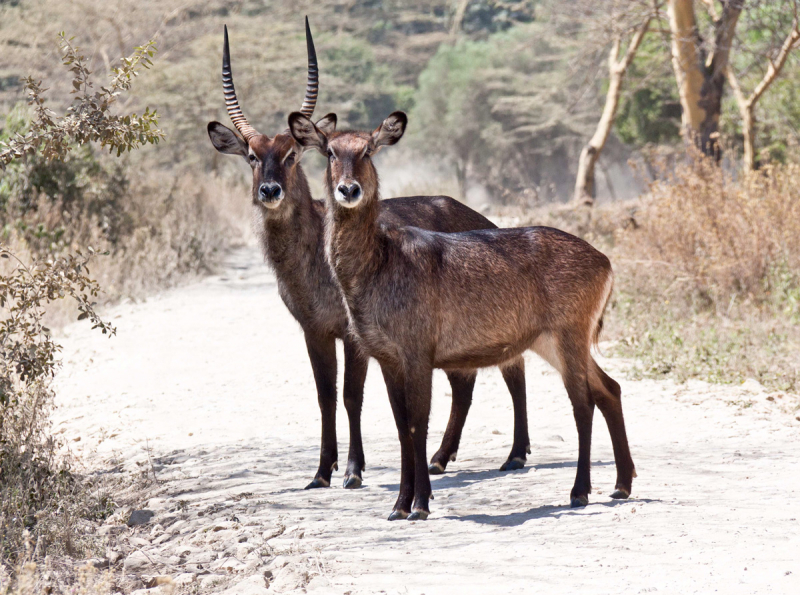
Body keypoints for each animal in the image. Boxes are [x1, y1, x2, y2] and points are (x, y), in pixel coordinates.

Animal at [206, 21, 536, 492]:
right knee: (465, 381)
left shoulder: (353, 334)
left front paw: (352, 470)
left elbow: (351, 395)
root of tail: (477, 215)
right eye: (252, 157)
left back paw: (514, 454)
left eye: (291, 155)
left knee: (512, 366)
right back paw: (440, 458)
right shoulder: (314, 330)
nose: (270, 191)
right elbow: (325, 395)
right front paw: (320, 472)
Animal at [288, 109, 636, 520]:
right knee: (609, 389)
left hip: (568, 337)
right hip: (553, 343)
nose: (349, 190)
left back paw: (580, 492)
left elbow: (417, 426)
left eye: (368, 150)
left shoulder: (417, 355)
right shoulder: (387, 359)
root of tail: (604, 260)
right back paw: (621, 484)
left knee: (583, 403)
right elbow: (401, 427)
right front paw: (399, 506)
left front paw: (419, 504)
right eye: (329, 151)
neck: (381, 261)